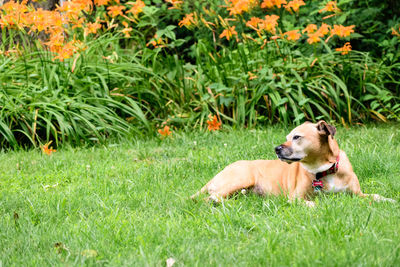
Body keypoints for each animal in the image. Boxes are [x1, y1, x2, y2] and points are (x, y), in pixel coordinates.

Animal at [192, 121, 396, 207]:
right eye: (287, 137)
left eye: (296, 137)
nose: (276, 148)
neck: (325, 170)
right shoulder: (296, 198)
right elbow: (312, 203)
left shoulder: (357, 194)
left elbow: (375, 196)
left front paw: (388, 200)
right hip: (241, 178)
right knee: (210, 197)